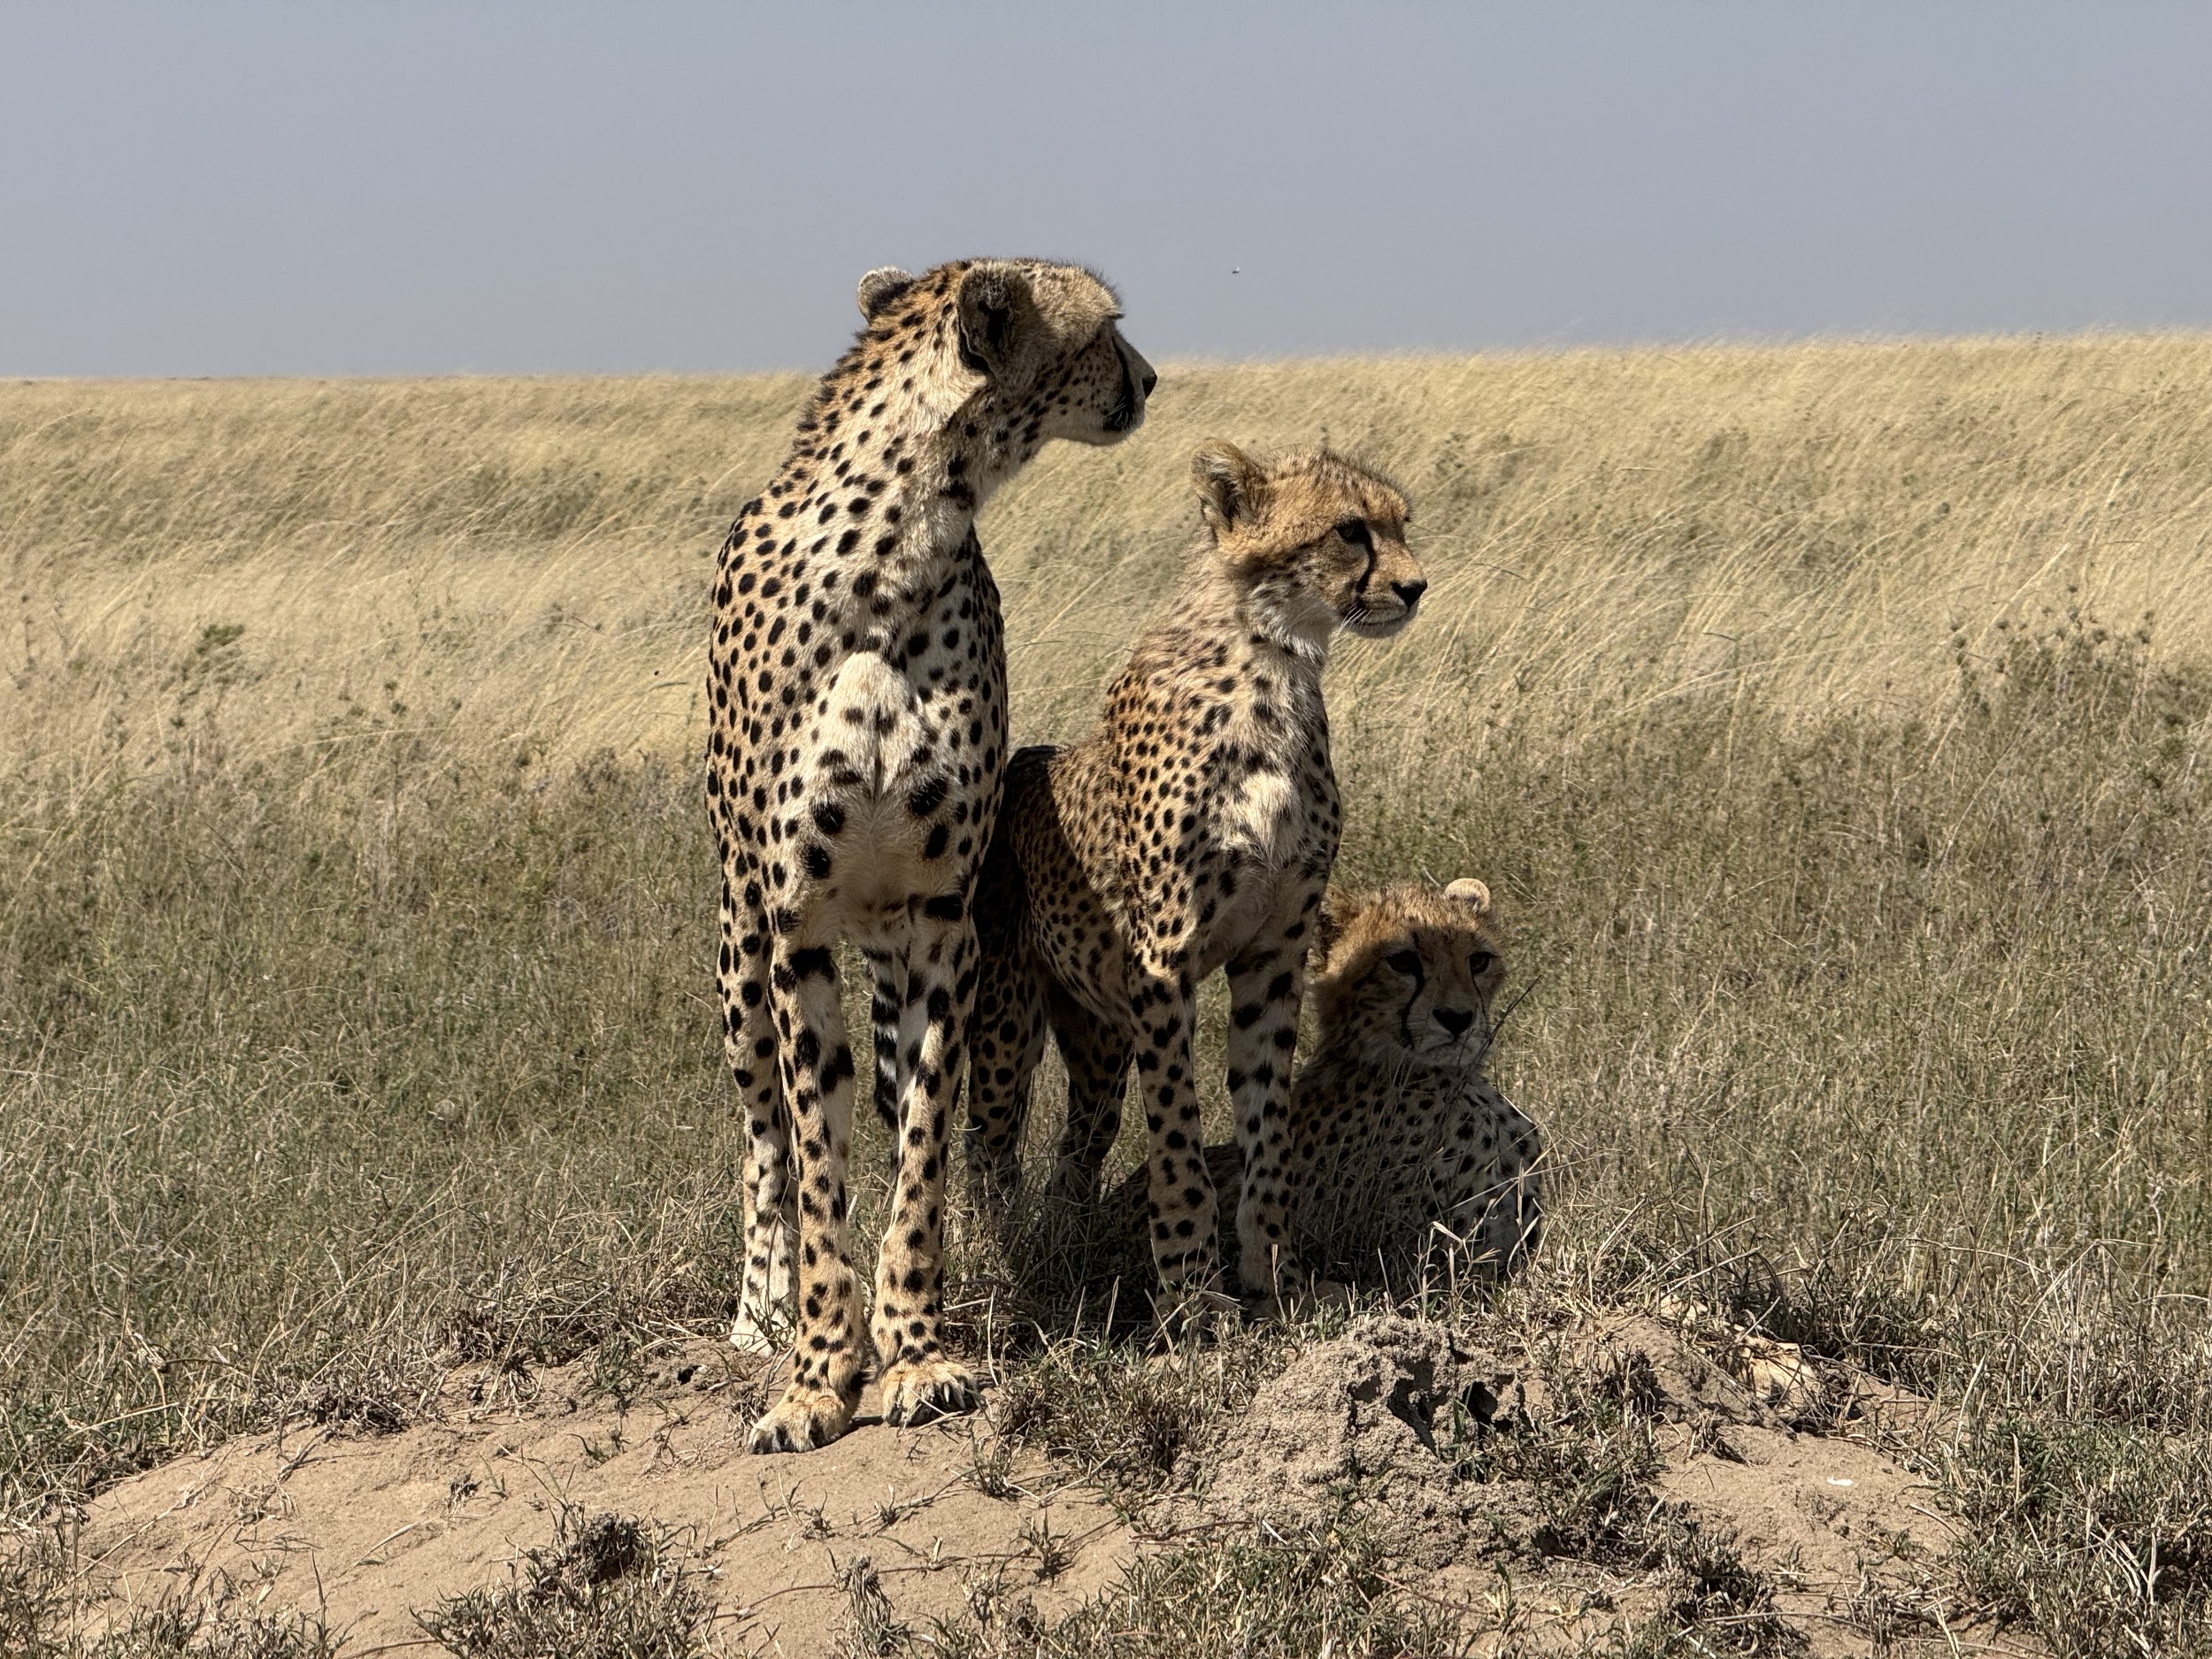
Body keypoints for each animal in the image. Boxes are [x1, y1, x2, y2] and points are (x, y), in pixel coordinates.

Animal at [708, 257, 1153, 1452]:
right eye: (1103, 329)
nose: (1148, 378)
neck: (896, 552)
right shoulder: (798, 926)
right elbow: (817, 1167)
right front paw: (818, 1371)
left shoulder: (942, 921)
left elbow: (920, 1153)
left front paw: (915, 1351)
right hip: (736, 956)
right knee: (763, 1139)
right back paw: (759, 1313)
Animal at [961, 440, 1426, 1307]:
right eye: (1350, 530)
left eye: (1401, 524)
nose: (1415, 586)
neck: (1273, 667)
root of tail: (1022, 758)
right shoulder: (1165, 956)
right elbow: (1178, 1131)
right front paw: (1191, 1289)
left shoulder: (1274, 952)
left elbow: (1267, 1122)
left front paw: (1272, 1273)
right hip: (1007, 1017)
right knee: (990, 1143)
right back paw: (994, 1260)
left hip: (1101, 1035)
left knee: (1078, 1148)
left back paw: (1070, 1247)